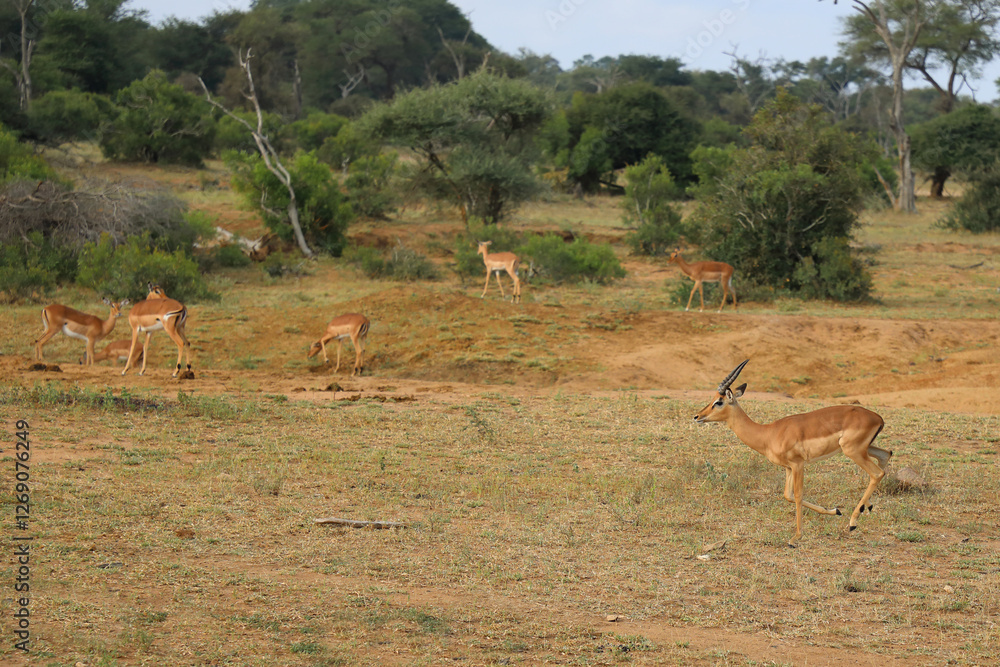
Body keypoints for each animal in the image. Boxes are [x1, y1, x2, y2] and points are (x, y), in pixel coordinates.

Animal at [694, 359, 892, 547]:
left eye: (719, 402)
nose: (697, 416)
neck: (768, 434)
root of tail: (878, 418)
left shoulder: (798, 464)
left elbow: (797, 495)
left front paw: (795, 538)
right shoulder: (788, 468)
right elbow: (787, 496)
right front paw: (835, 510)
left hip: (852, 450)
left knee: (877, 473)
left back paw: (853, 522)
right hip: (862, 448)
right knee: (886, 454)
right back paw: (867, 507)